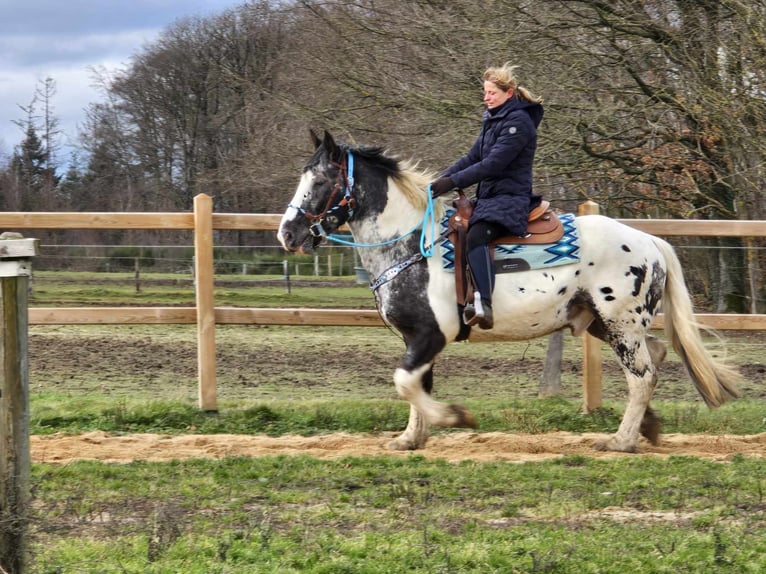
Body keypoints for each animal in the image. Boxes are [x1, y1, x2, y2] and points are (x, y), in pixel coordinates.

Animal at [280, 130, 740, 454]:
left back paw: (621, 441)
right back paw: (647, 427)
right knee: (655, 358)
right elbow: (416, 383)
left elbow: (405, 382)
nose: (288, 234)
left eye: (319, 181)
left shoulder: (432, 334)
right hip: (600, 324)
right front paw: (410, 439)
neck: (414, 243)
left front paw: (457, 417)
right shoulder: (418, 338)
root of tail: (650, 241)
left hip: (621, 324)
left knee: (642, 376)